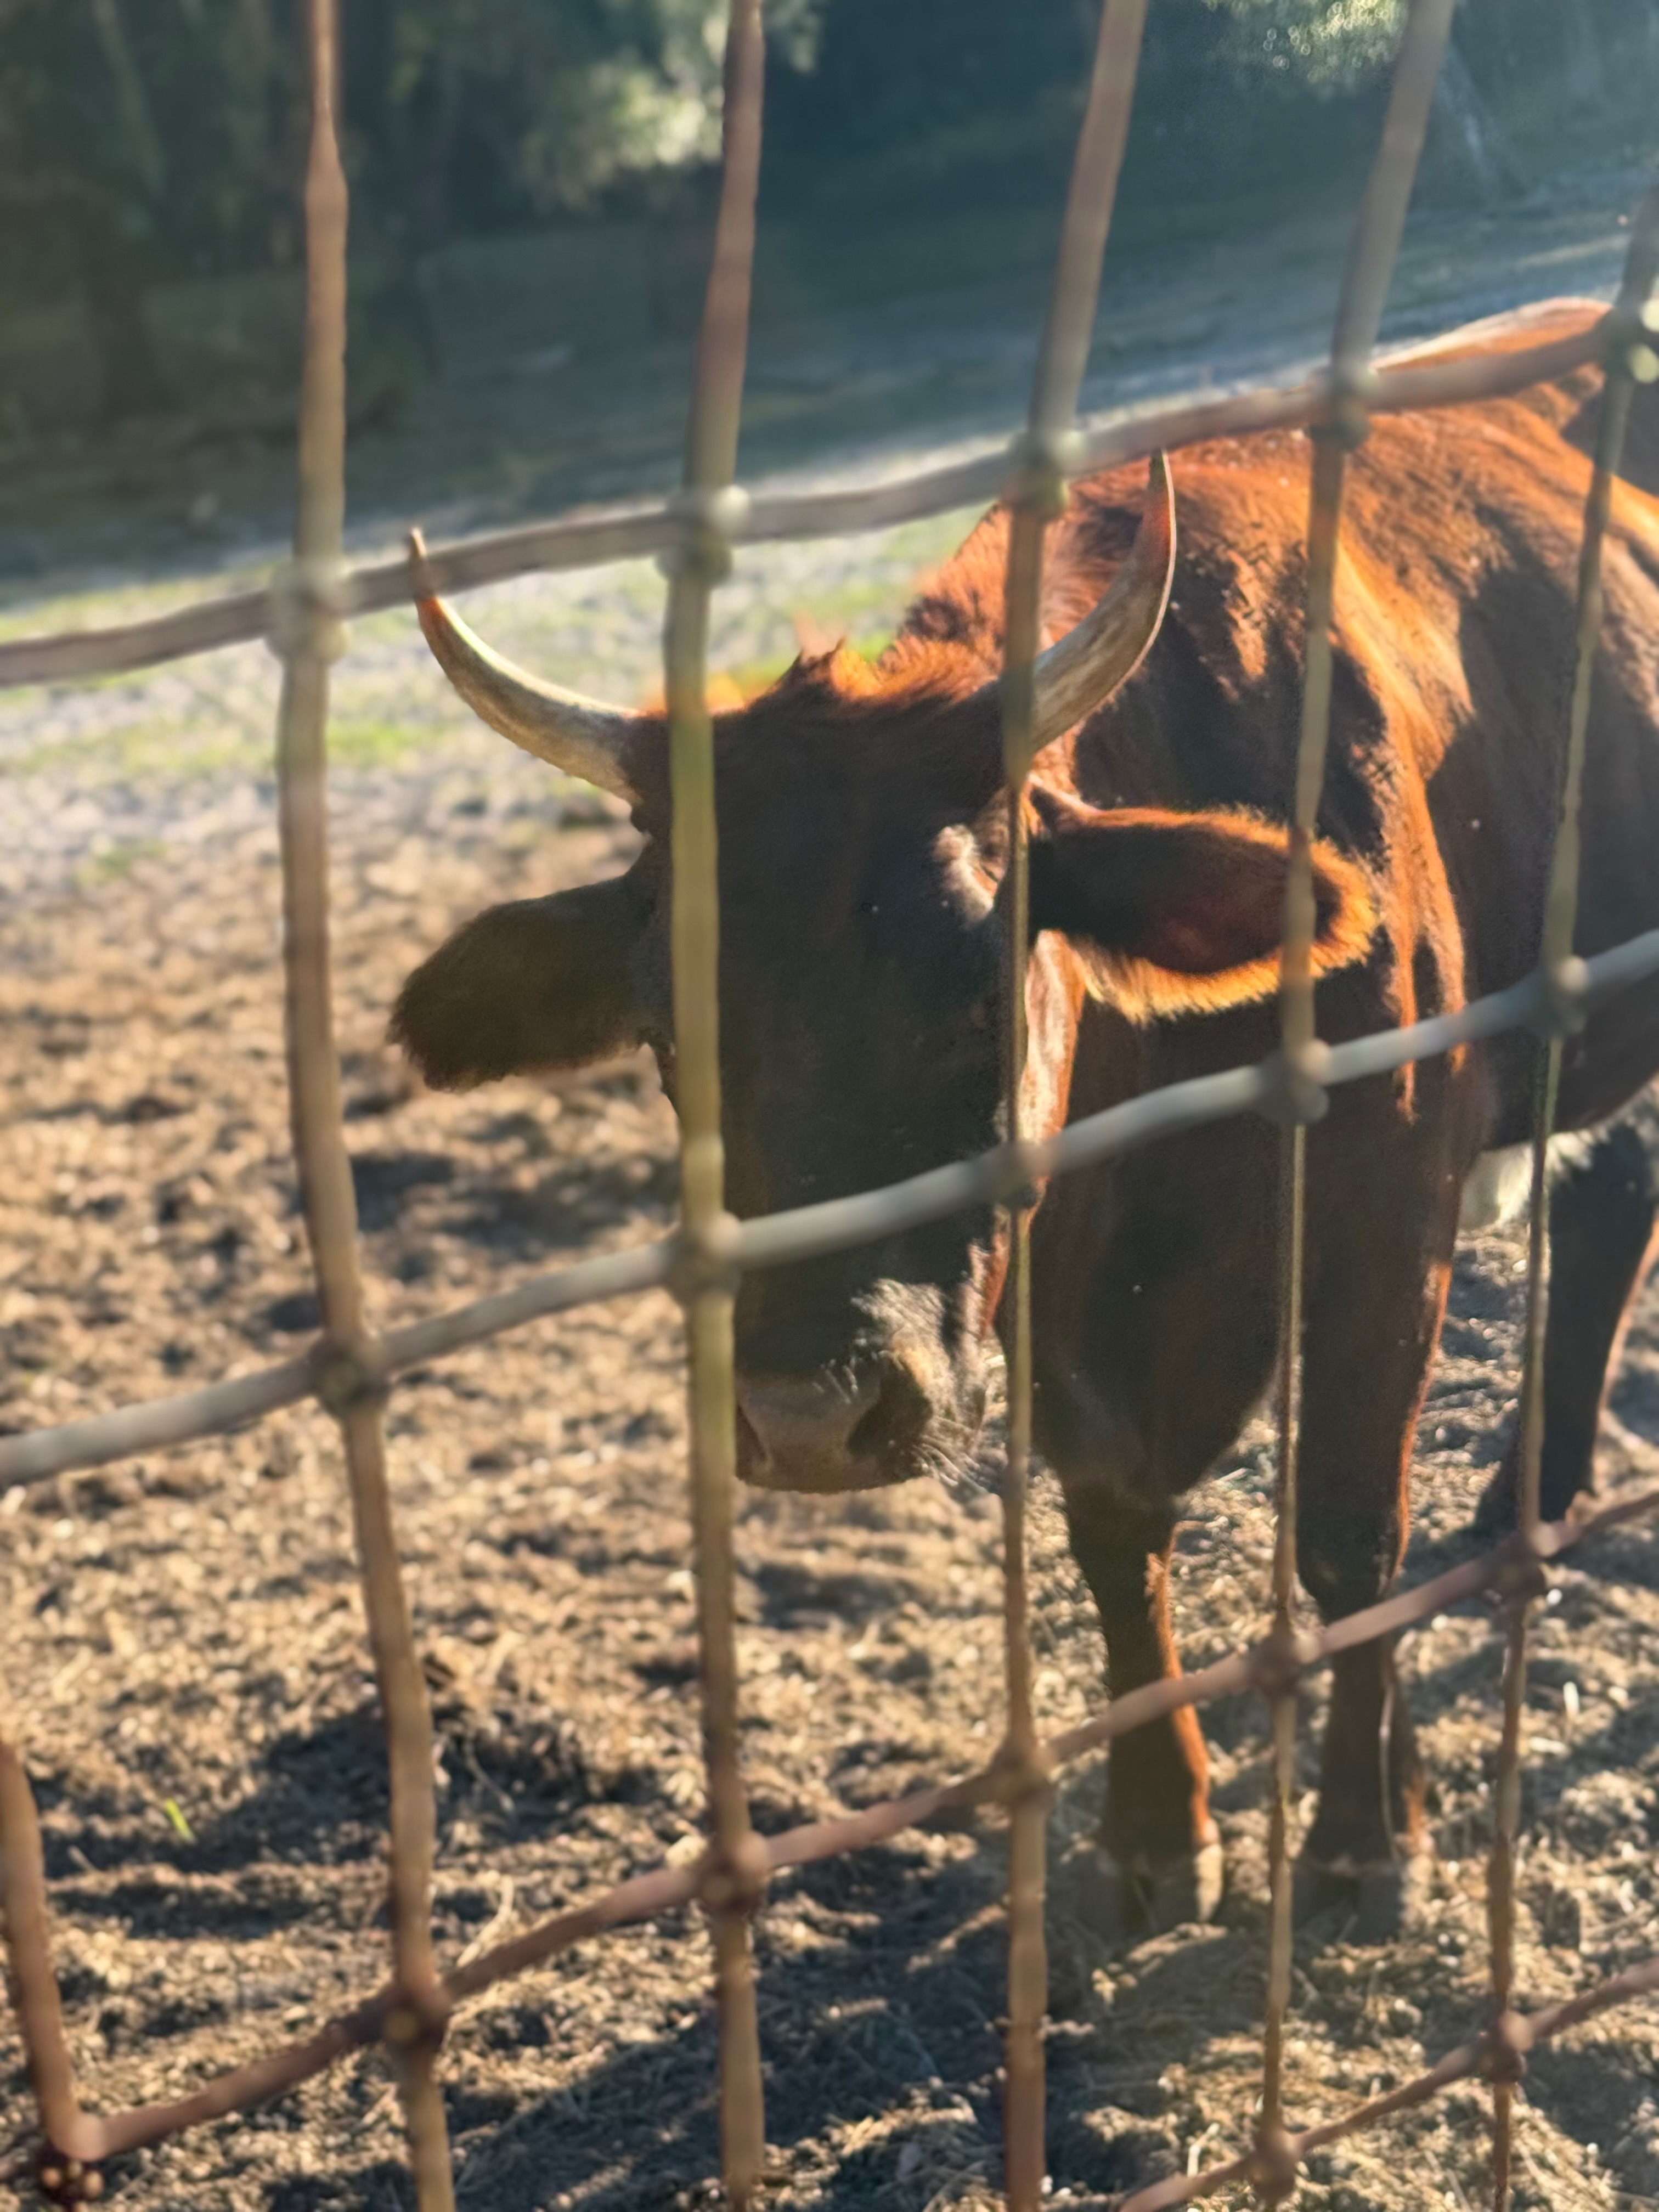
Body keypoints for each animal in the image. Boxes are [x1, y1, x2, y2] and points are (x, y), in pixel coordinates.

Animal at [390, 296, 1659, 1935]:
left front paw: (1365, 1841)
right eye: (669, 1037)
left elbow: (1345, 1534)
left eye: (984, 991)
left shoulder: (1393, 1220)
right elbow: (1115, 1536)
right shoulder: (1046, 1304)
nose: (807, 1416)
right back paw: (1528, 1504)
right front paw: (1157, 1832)